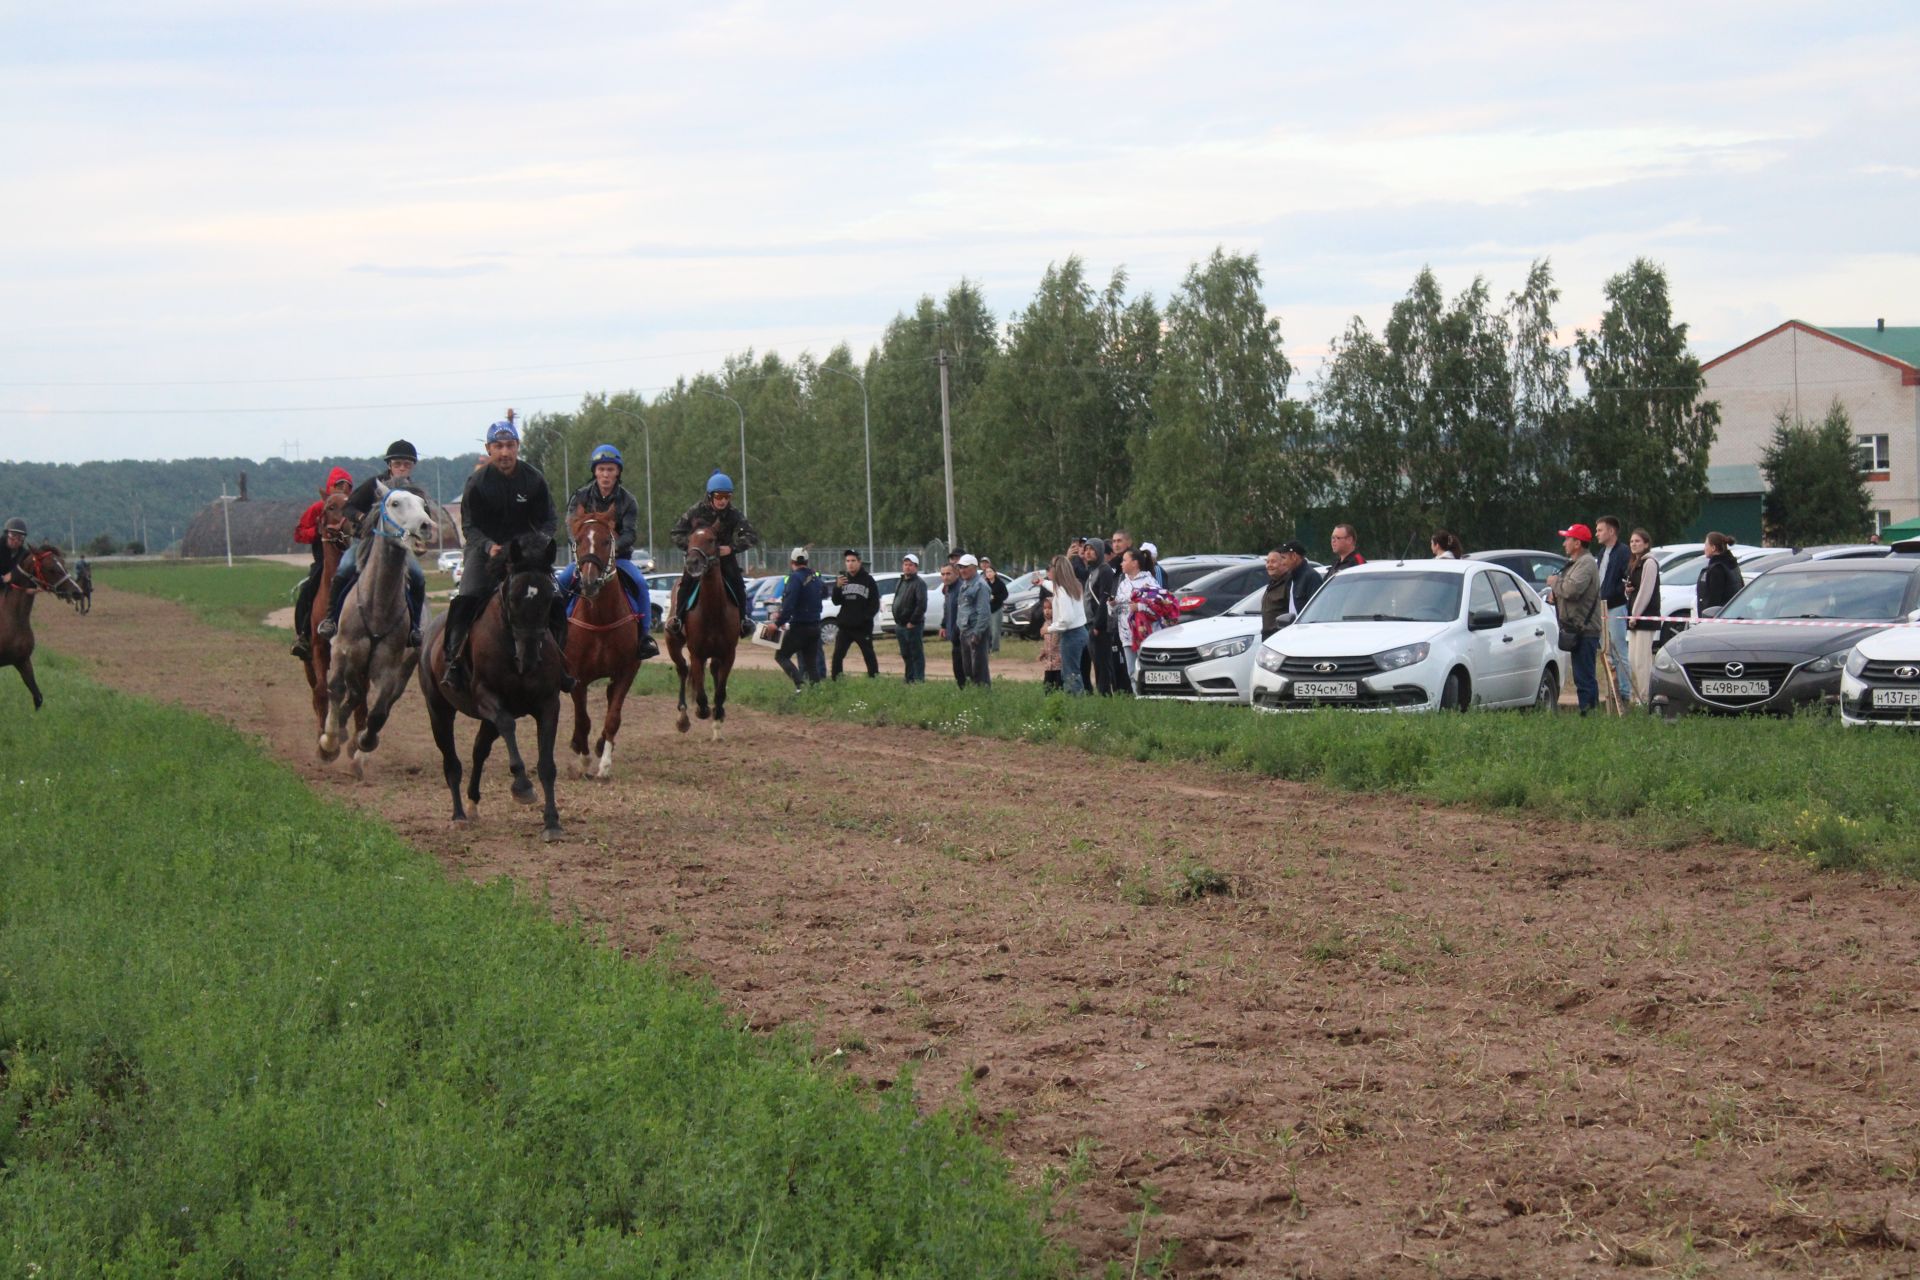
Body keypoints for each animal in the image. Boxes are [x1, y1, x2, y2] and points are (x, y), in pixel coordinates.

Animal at [0, 545, 85, 710]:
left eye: (63, 564)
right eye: (51, 569)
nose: (77, 591)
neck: (11, 617)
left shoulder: (23, 661)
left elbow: (38, 697)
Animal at [320, 487, 437, 782]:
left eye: (423, 504)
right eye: (394, 503)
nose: (426, 526)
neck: (377, 605)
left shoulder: (389, 670)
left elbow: (377, 714)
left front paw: (362, 744)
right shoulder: (342, 652)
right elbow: (335, 689)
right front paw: (328, 744)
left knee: (372, 703)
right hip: (355, 664)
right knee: (353, 694)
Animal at [416, 529, 564, 840]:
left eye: (548, 597)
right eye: (513, 597)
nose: (529, 657)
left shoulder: (548, 704)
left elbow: (547, 765)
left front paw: (552, 822)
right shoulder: (488, 699)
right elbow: (508, 726)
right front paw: (522, 787)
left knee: (479, 750)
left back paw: (473, 803)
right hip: (439, 711)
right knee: (452, 761)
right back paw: (459, 815)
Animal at [560, 506, 645, 775]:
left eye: (607, 541)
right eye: (578, 541)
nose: (589, 582)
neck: (599, 619)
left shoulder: (627, 670)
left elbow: (613, 716)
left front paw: (604, 763)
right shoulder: (576, 675)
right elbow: (582, 718)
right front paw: (584, 757)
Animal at [668, 521, 741, 740]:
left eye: (711, 540)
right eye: (690, 539)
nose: (692, 563)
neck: (713, 611)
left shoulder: (728, 654)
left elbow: (720, 691)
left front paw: (717, 720)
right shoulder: (697, 653)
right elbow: (700, 692)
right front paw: (702, 710)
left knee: (714, 671)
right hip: (673, 643)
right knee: (682, 670)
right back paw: (683, 717)